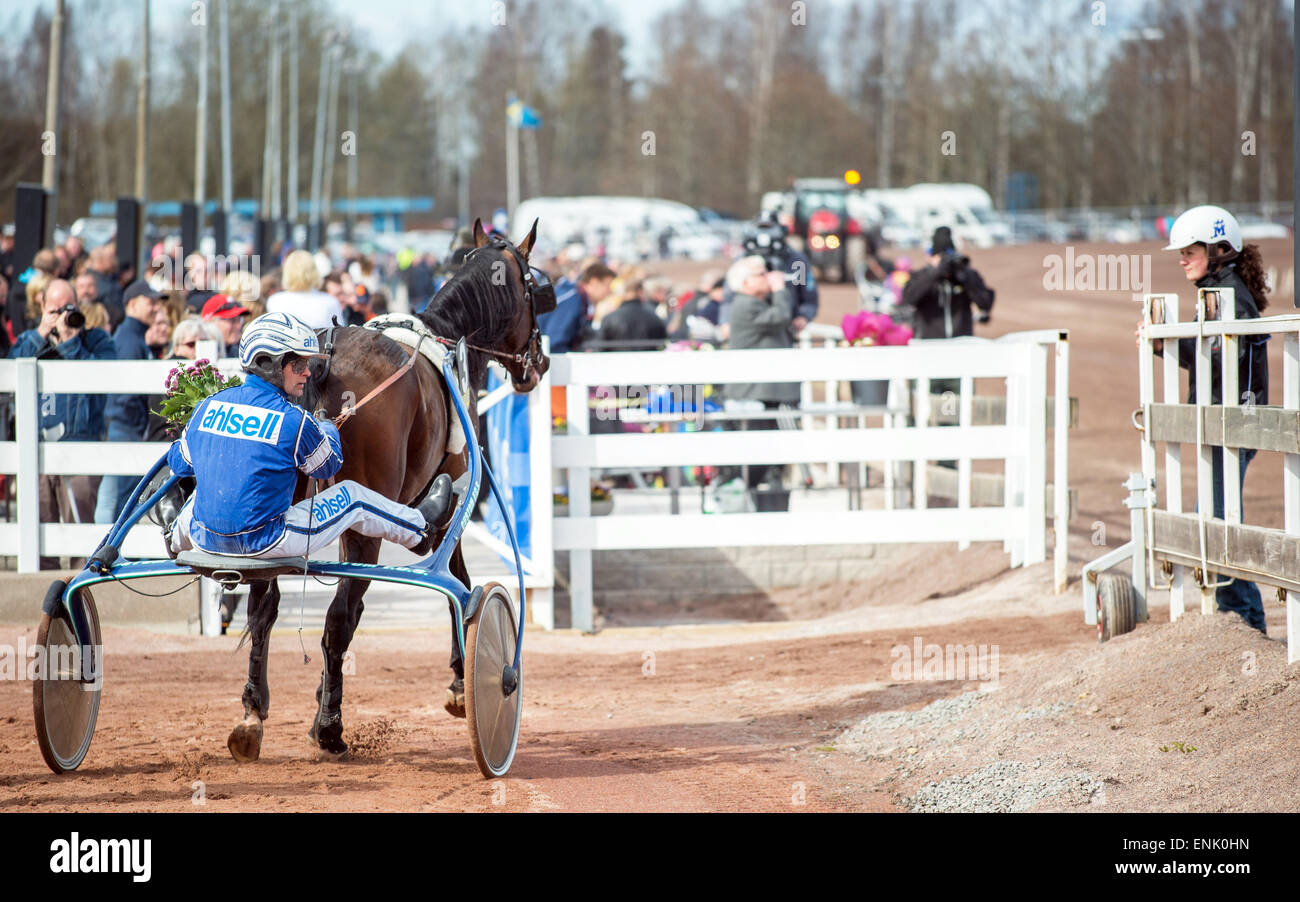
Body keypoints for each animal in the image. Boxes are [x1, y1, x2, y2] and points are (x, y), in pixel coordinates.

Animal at [226, 220, 551, 764]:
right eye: (536, 289)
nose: (540, 362)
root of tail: (325, 363)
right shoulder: (447, 509)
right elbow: (457, 583)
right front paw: (462, 681)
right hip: (363, 527)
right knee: (339, 618)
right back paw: (330, 729)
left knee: (264, 606)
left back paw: (254, 712)